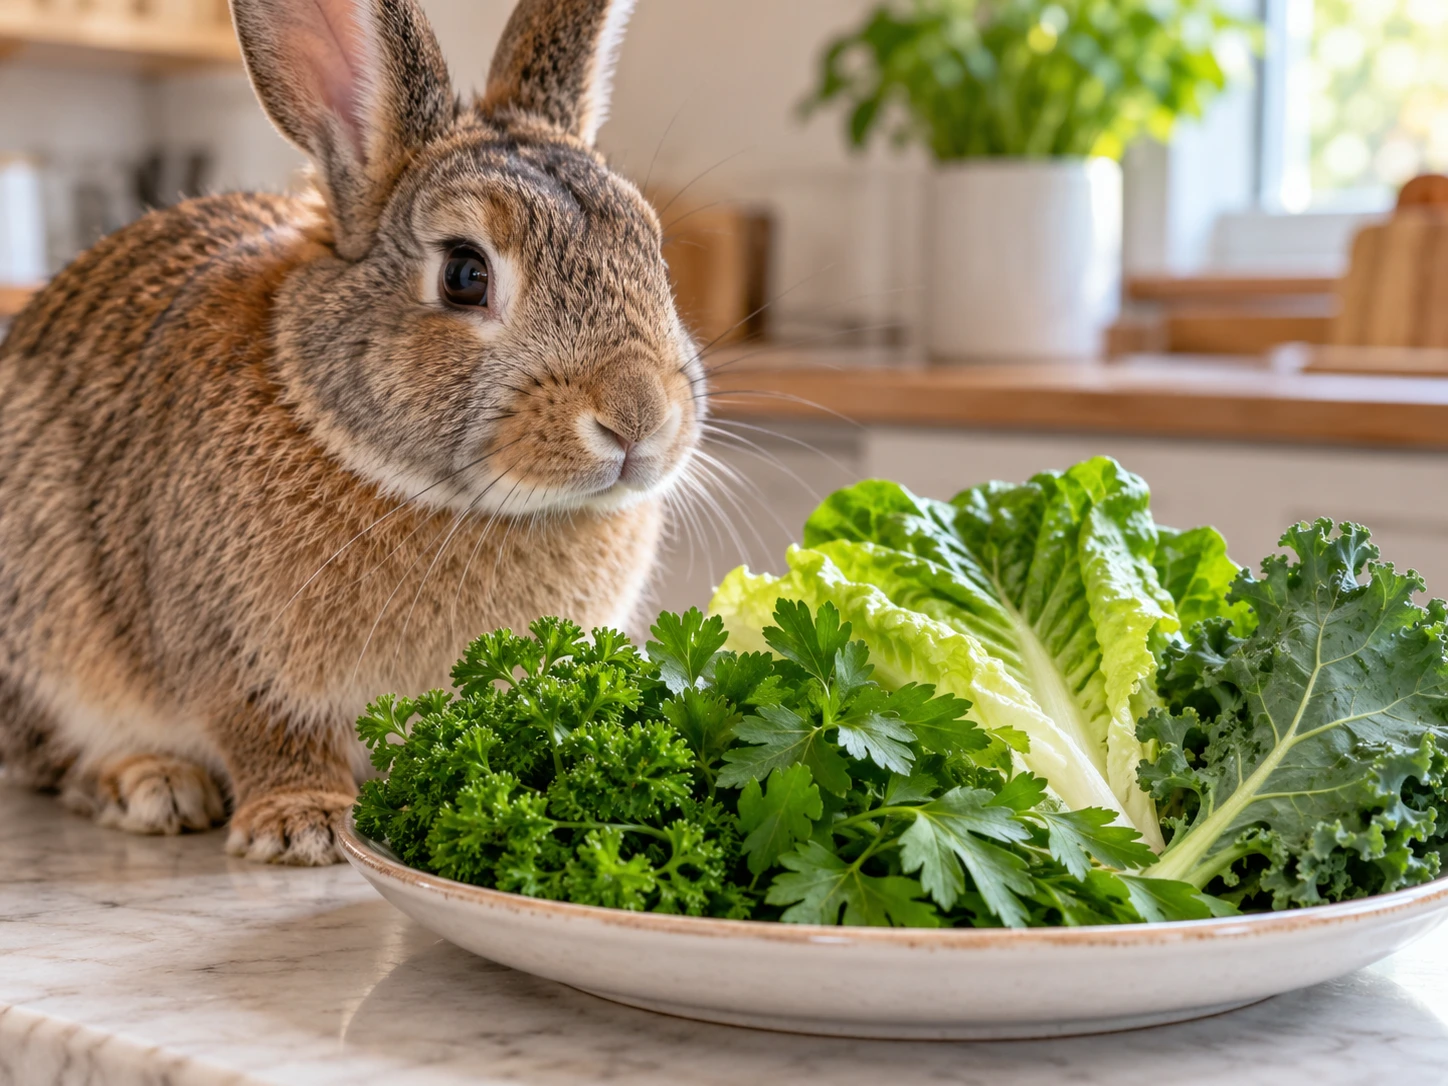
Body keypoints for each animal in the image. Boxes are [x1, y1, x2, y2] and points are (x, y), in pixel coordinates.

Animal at [0, 0, 703, 864]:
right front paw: (303, 826)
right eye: (464, 273)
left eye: (653, 251)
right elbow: (269, 736)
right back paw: (152, 784)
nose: (639, 417)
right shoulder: (235, 664)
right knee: (55, 758)